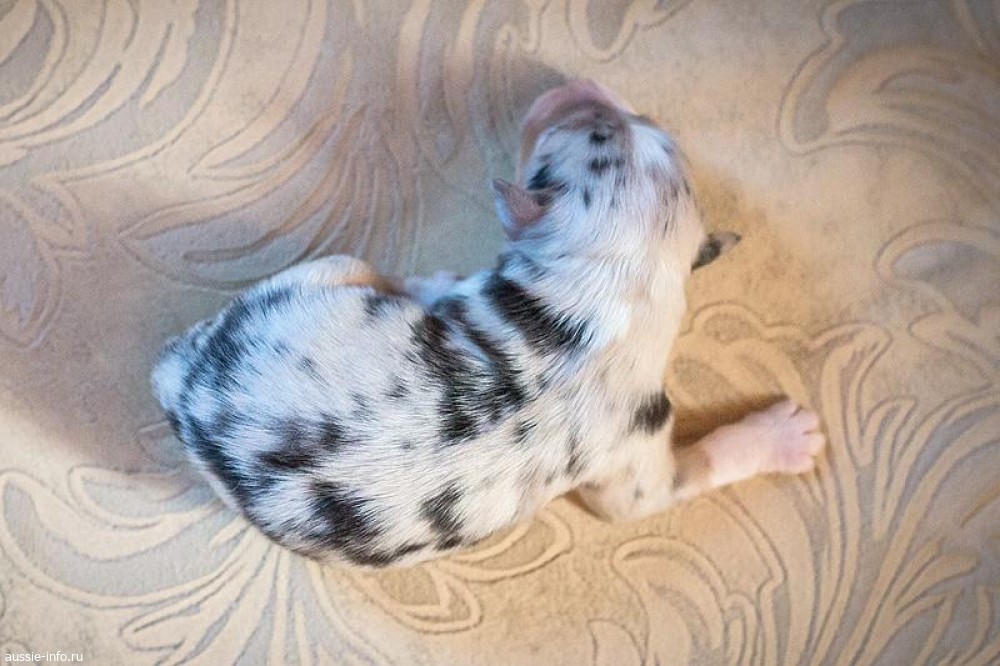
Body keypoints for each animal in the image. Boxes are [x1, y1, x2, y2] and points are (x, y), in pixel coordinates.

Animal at [152, 80, 825, 567]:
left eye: (631, 123)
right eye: (598, 125)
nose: (572, 86)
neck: (610, 294)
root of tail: (179, 381)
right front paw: (783, 435)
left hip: (328, 271)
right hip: (331, 269)